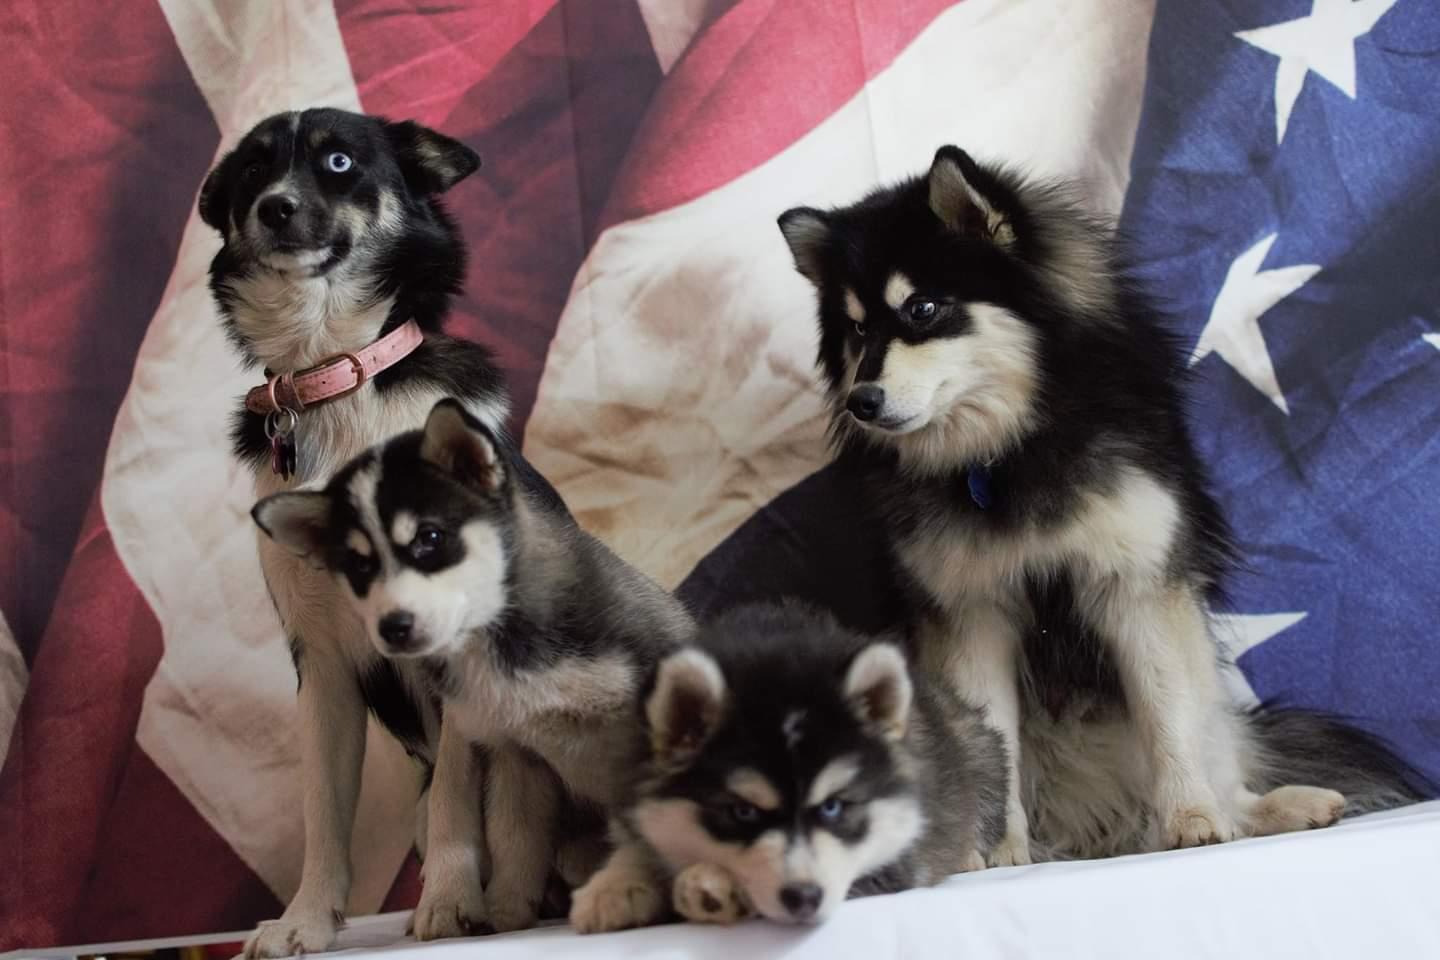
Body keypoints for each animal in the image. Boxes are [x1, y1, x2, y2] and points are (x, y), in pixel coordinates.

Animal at [199, 108, 509, 955]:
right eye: (251, 170)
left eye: (339, 161)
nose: (274, 207)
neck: (334, 374)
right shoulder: (321, 659)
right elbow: (322, 807)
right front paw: (305, 920)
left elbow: (454, 788)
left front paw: (449, 899)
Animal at [252, 398, 697, 934]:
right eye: (358, 568)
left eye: (430, 538)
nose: (393, 628)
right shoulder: (516, 752)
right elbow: (513, 834)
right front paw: (506, 910)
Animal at [570, 601, 1009, 932]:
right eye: (742, 812)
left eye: (833, 807)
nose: (804, 897)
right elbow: (637, 846)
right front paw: (614, 887)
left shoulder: (900, 857)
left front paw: (713, 883)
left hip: (979, 747)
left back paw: (970, 853)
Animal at [776, 146, 1431, 864]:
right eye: (856, 330)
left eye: (922, 308)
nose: (861, 401)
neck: (1009, 453)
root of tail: (1090, 824)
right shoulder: (972, 613)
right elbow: (994, 742)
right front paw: (999, 854)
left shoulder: (1137, 587)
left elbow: (1169, 722)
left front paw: (1193, 819)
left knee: (1218, 755)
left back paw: (1274, 807)